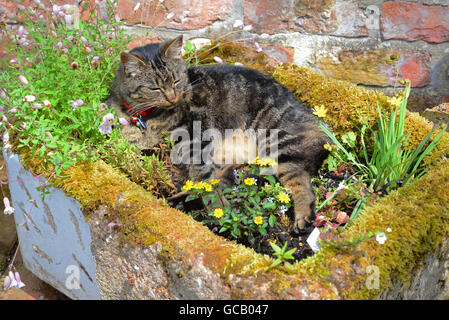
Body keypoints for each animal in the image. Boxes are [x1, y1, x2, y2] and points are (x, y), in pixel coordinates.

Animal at [106, 35, 328, 232]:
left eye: (176, 81)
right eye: (155, 88)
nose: (172, 97)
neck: (147, 118)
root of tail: (312, 117)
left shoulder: (194, 141)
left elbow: (205, 180)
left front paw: (219, 208)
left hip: (277, 142)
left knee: (300, 181)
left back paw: (303, 216)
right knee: (225, 177)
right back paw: (180, 201)